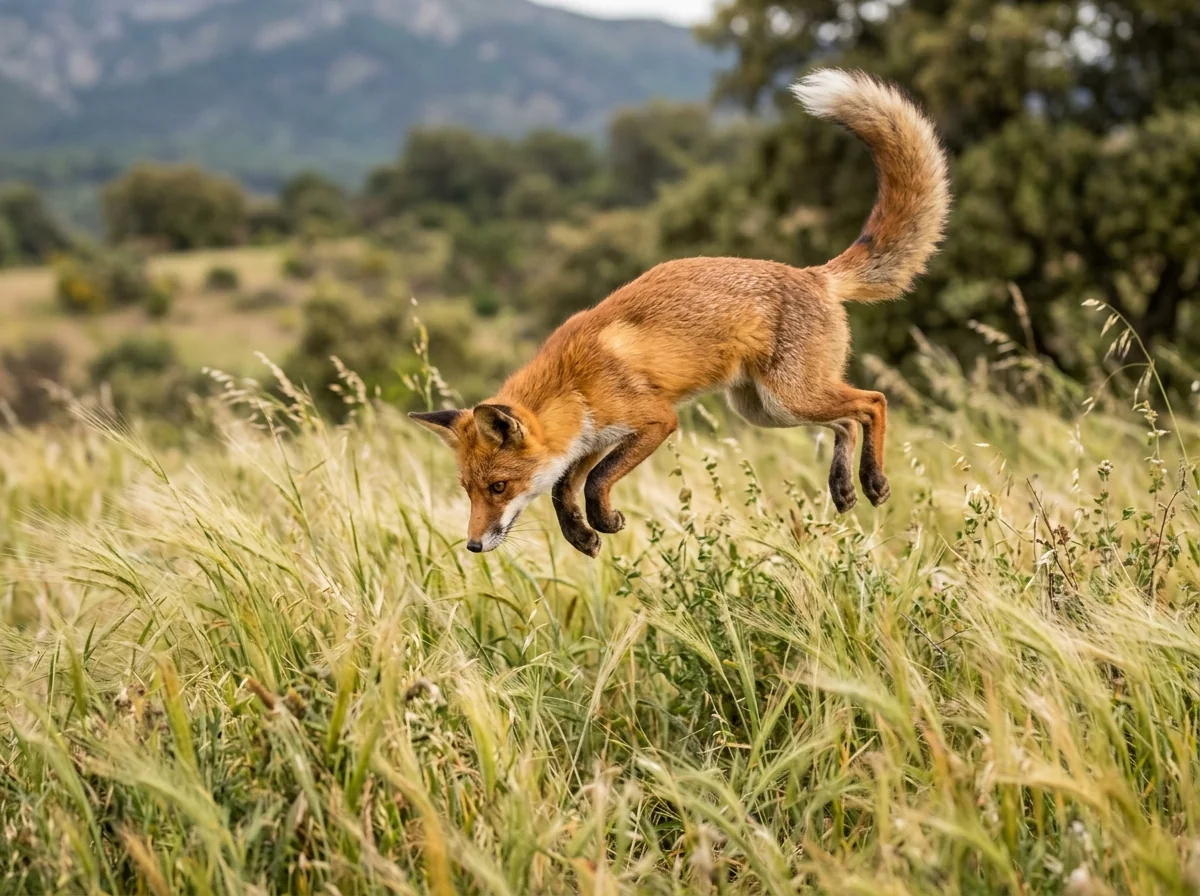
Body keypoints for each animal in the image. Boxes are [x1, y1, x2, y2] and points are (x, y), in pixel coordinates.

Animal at [410, 68, 952, 557]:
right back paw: (843, 487)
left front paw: (601, 521)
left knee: (872, 402)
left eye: (498, 487)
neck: (574, 383)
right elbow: (565, 486)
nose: (473, 545)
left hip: (791, 397)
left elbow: (593, 481)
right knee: (845, 421)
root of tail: (814, 275)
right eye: (468, 490)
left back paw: (873, 480)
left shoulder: (654, 421)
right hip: (767, 409)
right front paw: (582, 536)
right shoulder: (593, 438)